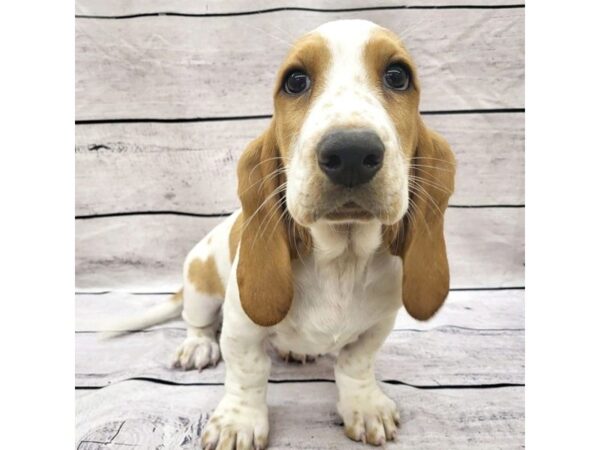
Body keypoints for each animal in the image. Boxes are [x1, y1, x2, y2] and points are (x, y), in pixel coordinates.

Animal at [117, 18, 454, 450]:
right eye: (295, 81)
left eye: (398, 76)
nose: (350, 153)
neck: (341, 257)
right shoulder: (241, 328)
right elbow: (248, 372)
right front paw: (238, 423)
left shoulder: (377, 326)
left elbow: (355, 364)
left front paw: (365, 408)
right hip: (201, 282)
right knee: (198, 322)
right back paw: (197, 346)